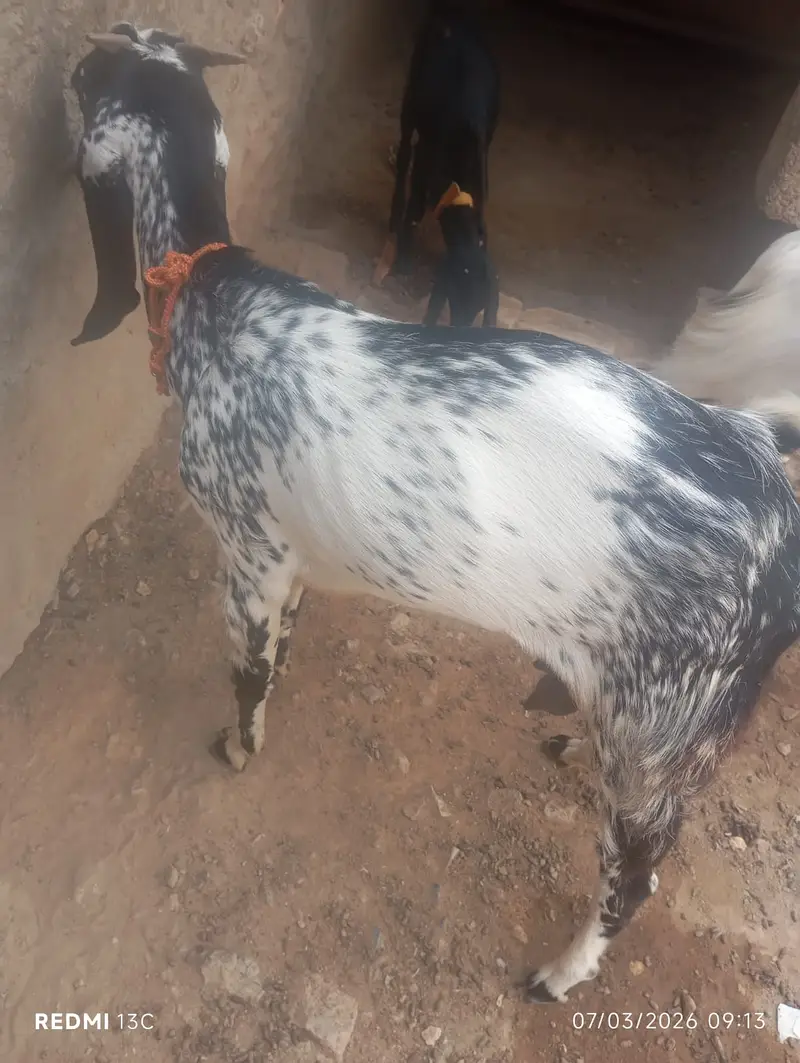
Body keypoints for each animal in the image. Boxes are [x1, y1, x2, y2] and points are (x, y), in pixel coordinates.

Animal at [381, 0, 500, 328]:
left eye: (480, 307)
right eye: (453, 298)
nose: (460, 331)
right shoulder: (426, 163)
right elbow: (414, 210)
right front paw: (404, 261)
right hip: (411, 98)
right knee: (405, 152)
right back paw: (394, 213)